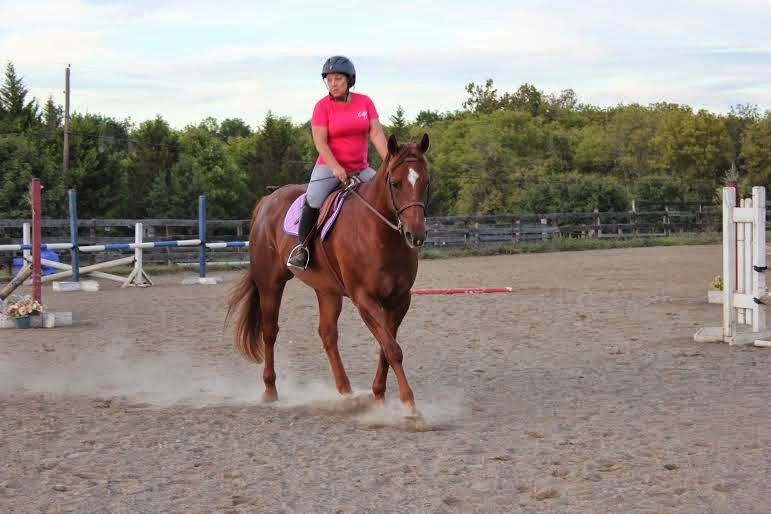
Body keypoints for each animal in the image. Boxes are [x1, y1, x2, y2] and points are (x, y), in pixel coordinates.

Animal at [226, 133, 432, 424]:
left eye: (426, 182)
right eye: (395, 182)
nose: (416, 235)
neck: (379, 233)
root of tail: (266, 201)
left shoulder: (400, 301)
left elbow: (386, 347)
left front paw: (378, 396)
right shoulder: (364, 299)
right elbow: (393, 349)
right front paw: (410, 406)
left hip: (327, 291)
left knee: (327, 335)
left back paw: (346, 393)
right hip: (270, 285)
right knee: (270, 332)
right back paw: (270, 390)